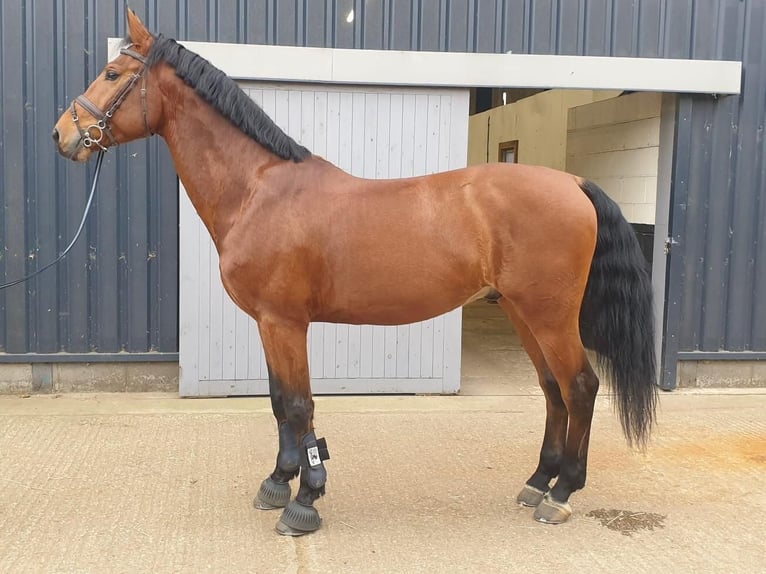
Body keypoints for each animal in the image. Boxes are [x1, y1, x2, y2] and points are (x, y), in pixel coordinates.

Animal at [53, 9, 657, 536]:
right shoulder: (268, 324)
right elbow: (279, 402)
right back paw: (537, 482)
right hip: (520, 311)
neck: (259, 189)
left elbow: (299, 406)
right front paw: (279, 482)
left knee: (580, 387)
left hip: (549, 315)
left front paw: (305, 501)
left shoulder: (284, 322)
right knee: (553, 389)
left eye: (112, 74)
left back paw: (562, 493)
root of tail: (573, 183)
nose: (62, 136)